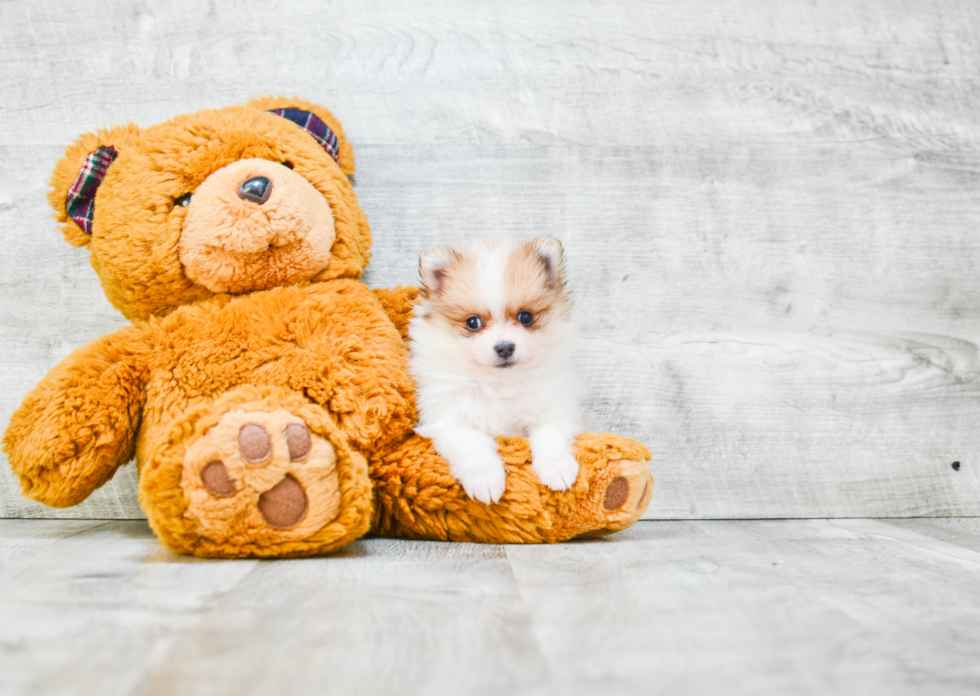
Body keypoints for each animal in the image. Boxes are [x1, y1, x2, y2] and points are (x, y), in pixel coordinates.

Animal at [408, 237, 580, 502]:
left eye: (525, 317)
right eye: (473, 323)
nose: (505, 347)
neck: (500, 383)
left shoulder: (552, 408)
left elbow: (550, 436)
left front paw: (557, 468)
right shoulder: (449, 419)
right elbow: (472, 445)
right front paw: (485, 480)